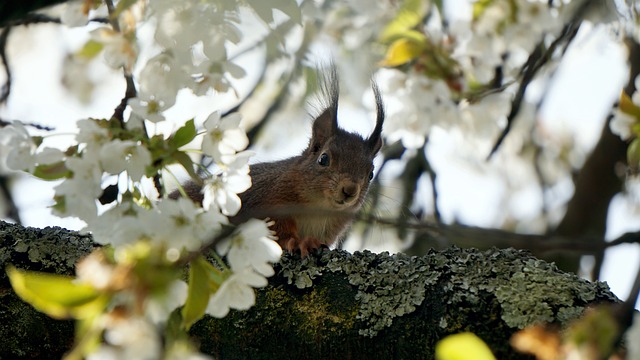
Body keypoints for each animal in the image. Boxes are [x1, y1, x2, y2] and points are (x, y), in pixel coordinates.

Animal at [176, 65, 384, 256]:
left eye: (371, 173)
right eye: (323, 159)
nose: (350, 190)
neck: (317, 208)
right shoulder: (268, 203)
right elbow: (278, 231)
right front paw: (298, 242)